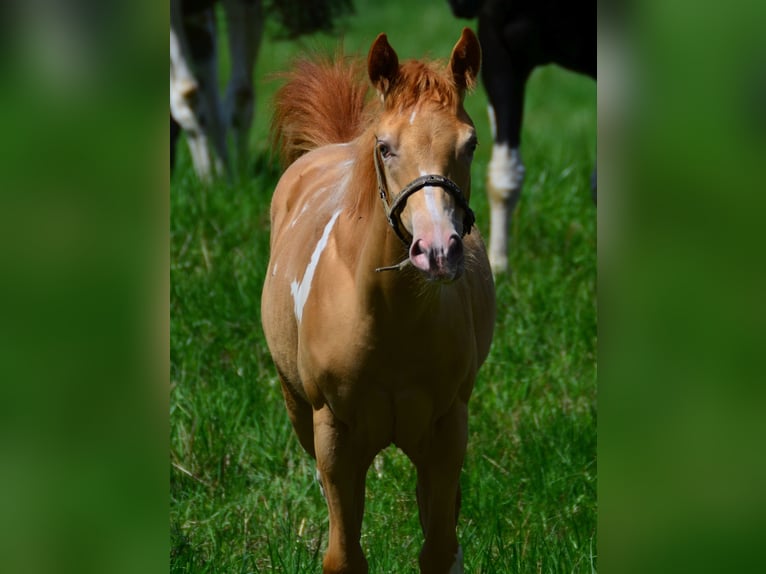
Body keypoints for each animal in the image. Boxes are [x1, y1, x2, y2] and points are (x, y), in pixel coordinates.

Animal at [261, 28, 496, 574]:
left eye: (471, 143)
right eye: (385, 147)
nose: (437, 250)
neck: (391, 322)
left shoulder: (447, 429)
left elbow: (439, 548)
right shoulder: (335, 435)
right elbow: (344, 553)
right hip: (297, 408)